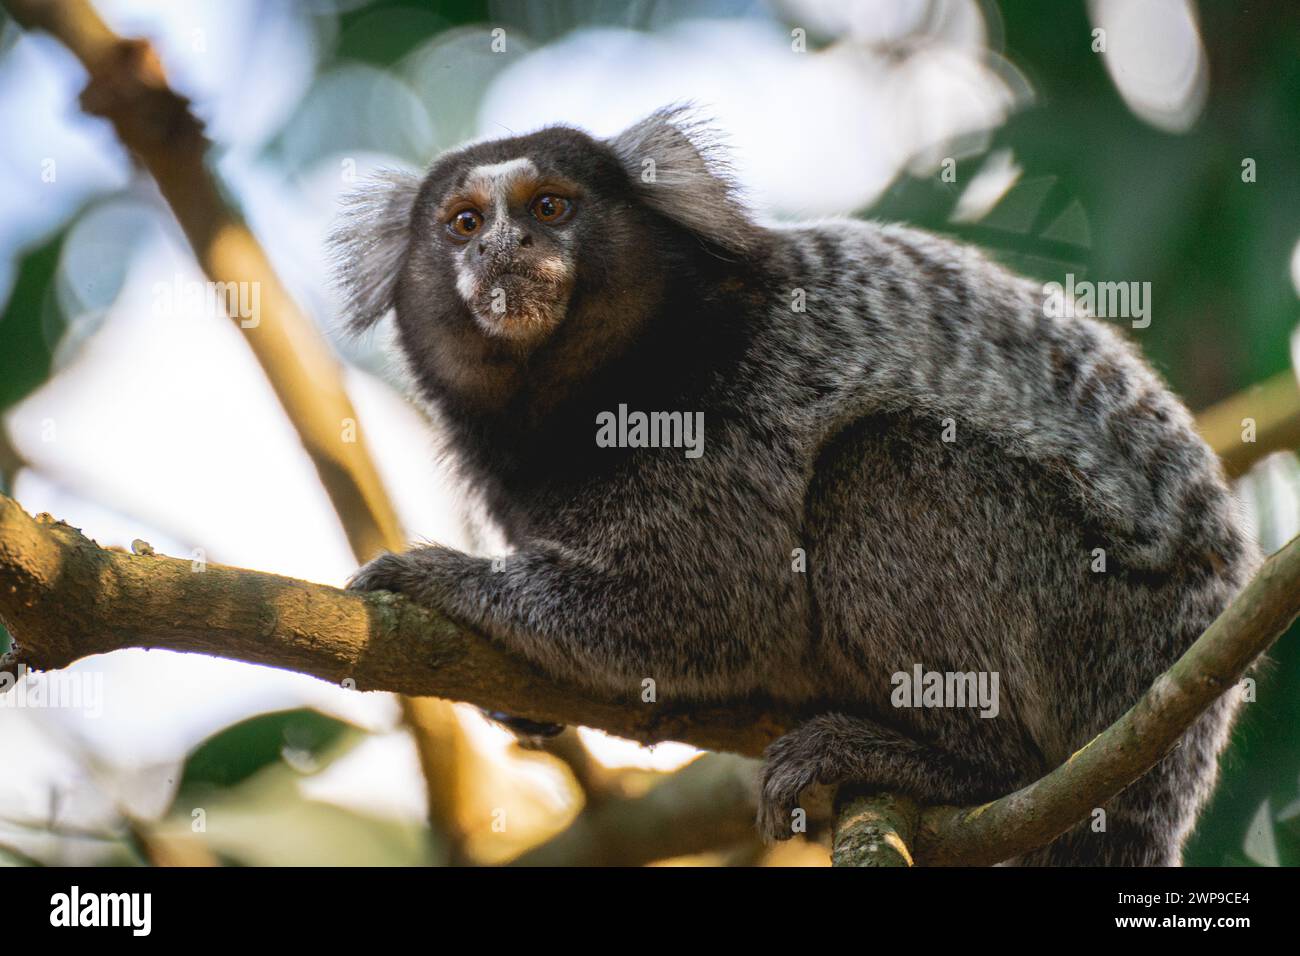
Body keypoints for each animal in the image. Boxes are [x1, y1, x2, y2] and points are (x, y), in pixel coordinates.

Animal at [332, 106, 1258, 868]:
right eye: (464, 223)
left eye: (549, 208)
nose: (503, 248)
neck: (585, 390)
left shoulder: (731, 410)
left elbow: (708, 605)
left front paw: (443, 580)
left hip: (1096, 626)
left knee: (880, 465)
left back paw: (955, 763)